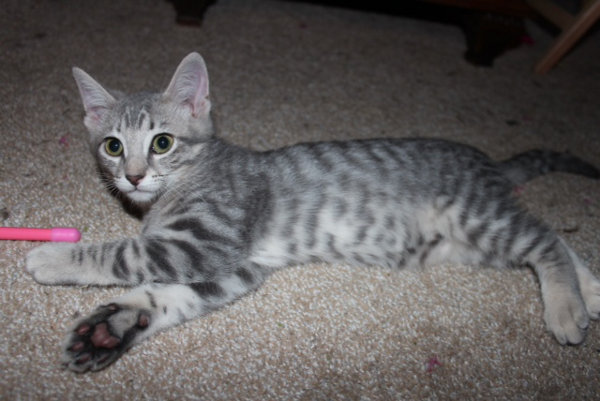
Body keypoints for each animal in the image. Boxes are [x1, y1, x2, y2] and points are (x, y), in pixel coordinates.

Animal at [25, 51, 600, 370]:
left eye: (162, 143)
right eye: (113, 146)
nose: (134, 175)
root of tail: (485, 161)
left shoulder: (208, 241)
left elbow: (126, 253)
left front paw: (52, 258)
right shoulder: (238, 268)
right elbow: (162, 296)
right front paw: (110, 328)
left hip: (473, 216)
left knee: (545, 240)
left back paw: (567, 308)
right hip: (467, 242)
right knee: (551, 235)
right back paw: (590, 288)